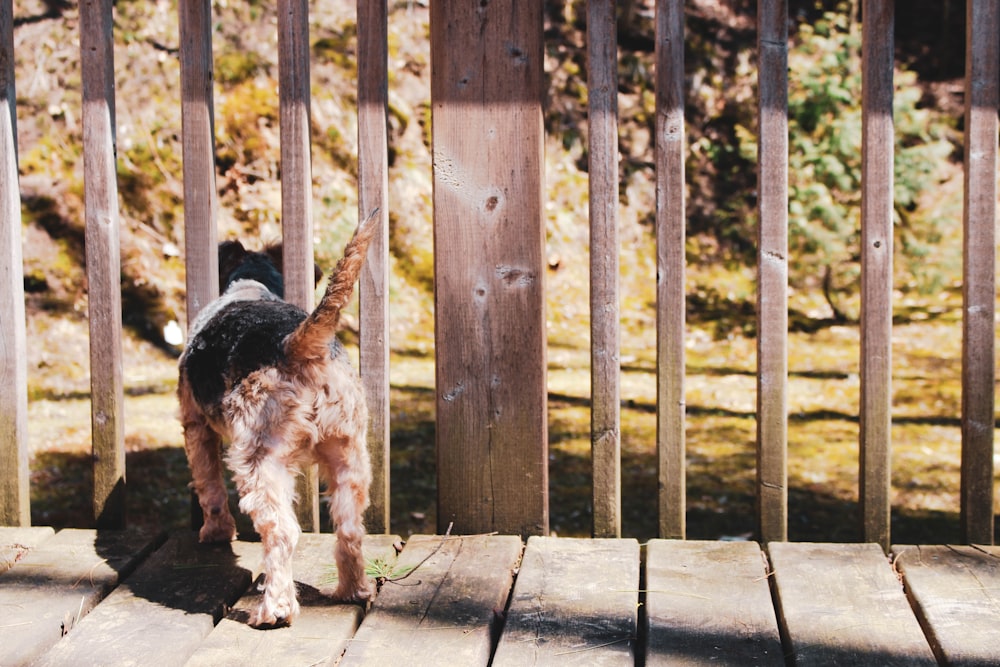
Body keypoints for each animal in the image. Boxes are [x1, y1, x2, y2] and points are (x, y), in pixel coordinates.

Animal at [176, 211, 378, 628]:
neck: (252, 284)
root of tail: (297, 346)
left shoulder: (195, 423)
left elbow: (208, 485)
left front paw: (216, 532)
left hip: (259, 459)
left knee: (282, 532)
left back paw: (275, 609)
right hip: (349, 454)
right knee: (350, 529)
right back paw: (352, 590)